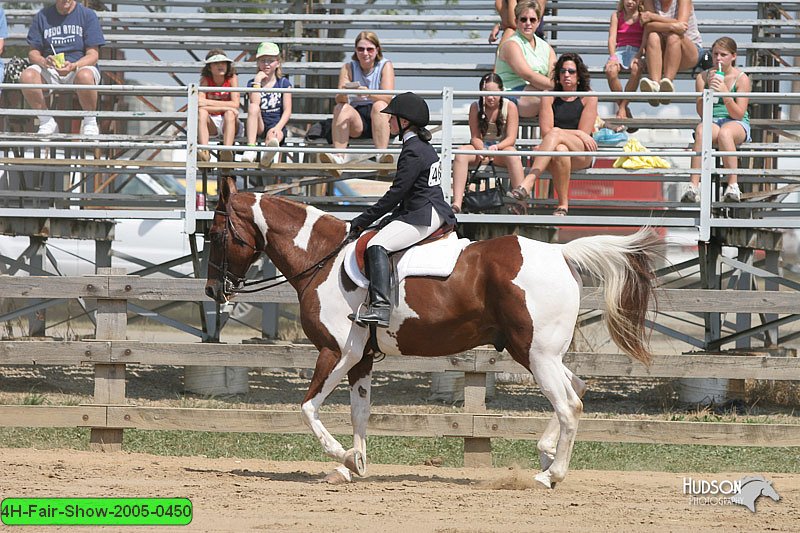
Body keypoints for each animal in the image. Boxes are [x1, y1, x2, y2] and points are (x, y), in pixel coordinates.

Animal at [206, 178, 664, 486]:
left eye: (214, 233)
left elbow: (307, 408)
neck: (322, 259)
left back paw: (551, 476)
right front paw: (357, 463)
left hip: (536, 355)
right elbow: (359, 411)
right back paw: (546, 455)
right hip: (536, 354)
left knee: (569, 405)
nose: (213, 290)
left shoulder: (336, 352)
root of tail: (560, 252)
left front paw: (343, 459)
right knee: (579, 389)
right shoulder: (362, 358)